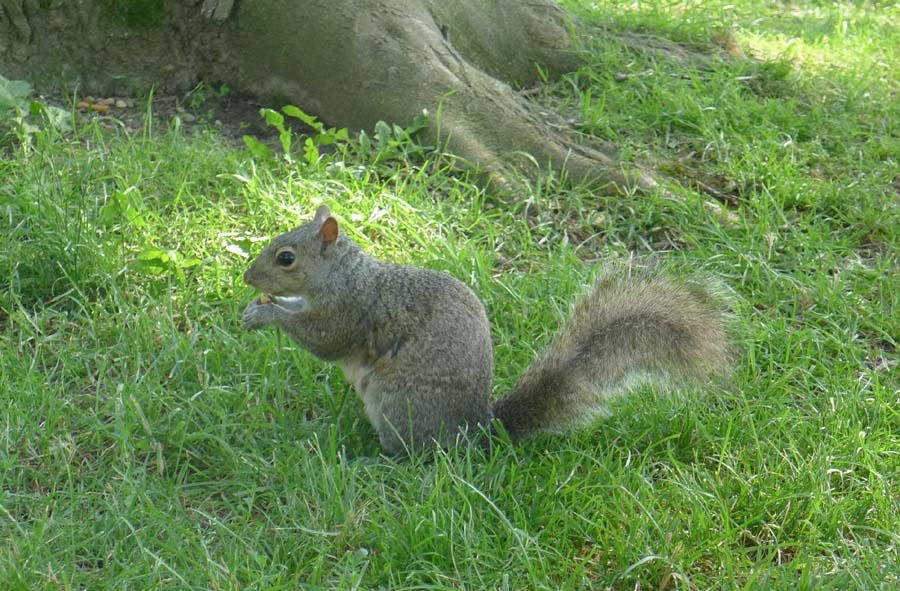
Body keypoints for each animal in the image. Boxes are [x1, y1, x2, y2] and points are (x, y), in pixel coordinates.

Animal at [241, 206, 732, 456]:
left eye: (286, 258)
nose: (247, 278)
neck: (343, 274)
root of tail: (476, 431)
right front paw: (256, 307)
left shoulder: (350, 310)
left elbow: (324, 341)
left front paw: (267, 315)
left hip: (398, 401)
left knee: (415, 454)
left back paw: (371, 460)